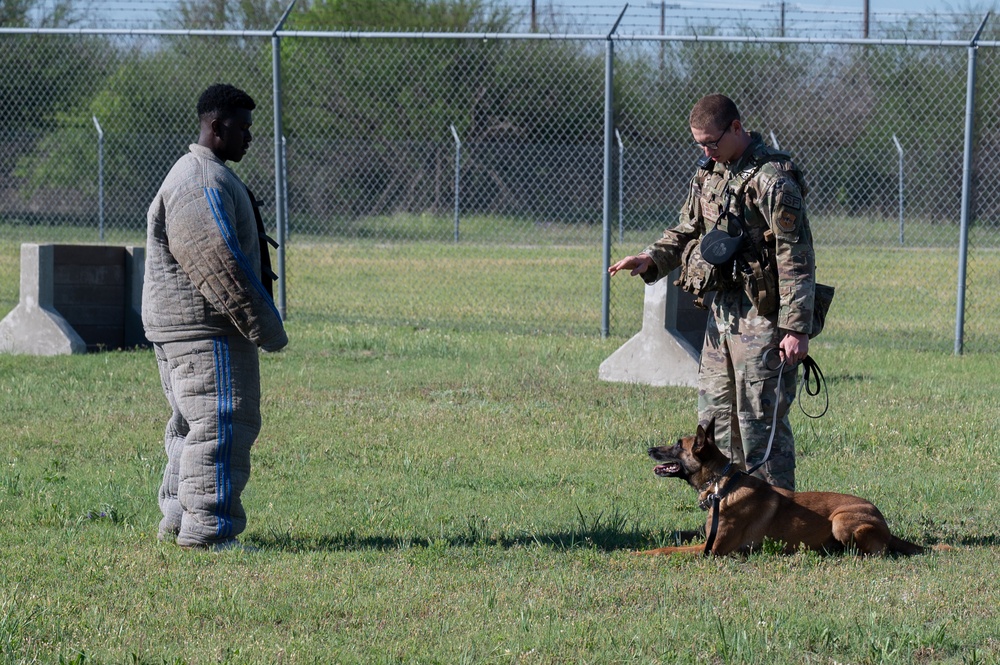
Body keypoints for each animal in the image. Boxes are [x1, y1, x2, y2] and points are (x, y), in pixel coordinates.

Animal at [636, 420, 948, 556]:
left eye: (678, 445)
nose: (649, 449)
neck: (723, 485)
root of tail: (884, 523)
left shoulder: (712, 549)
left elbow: (662, 550)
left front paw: (633, 555)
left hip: (840, 521)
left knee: (875, 552)